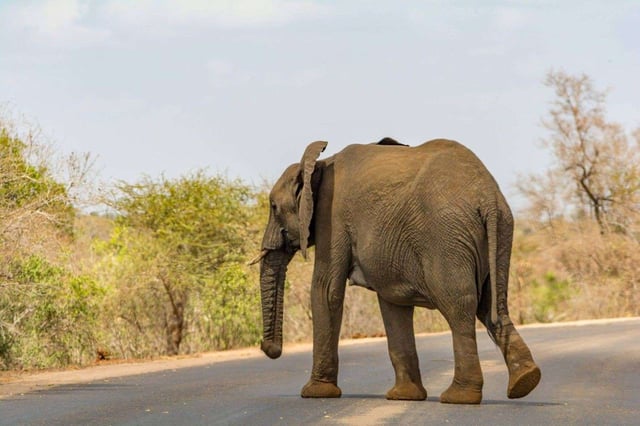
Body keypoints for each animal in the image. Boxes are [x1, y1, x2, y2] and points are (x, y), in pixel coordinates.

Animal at [254, 137, 541, 404]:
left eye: (273, 207)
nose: (269, 349)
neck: (320, 163)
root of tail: (488, 196)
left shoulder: (331, 215)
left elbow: (326, 291)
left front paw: (315, 393)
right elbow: (393, 302)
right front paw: (404, 397)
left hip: (446, 237)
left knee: (459, 306)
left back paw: (459, 397)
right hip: (501, 231)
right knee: (493, 304)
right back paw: (525, 381)